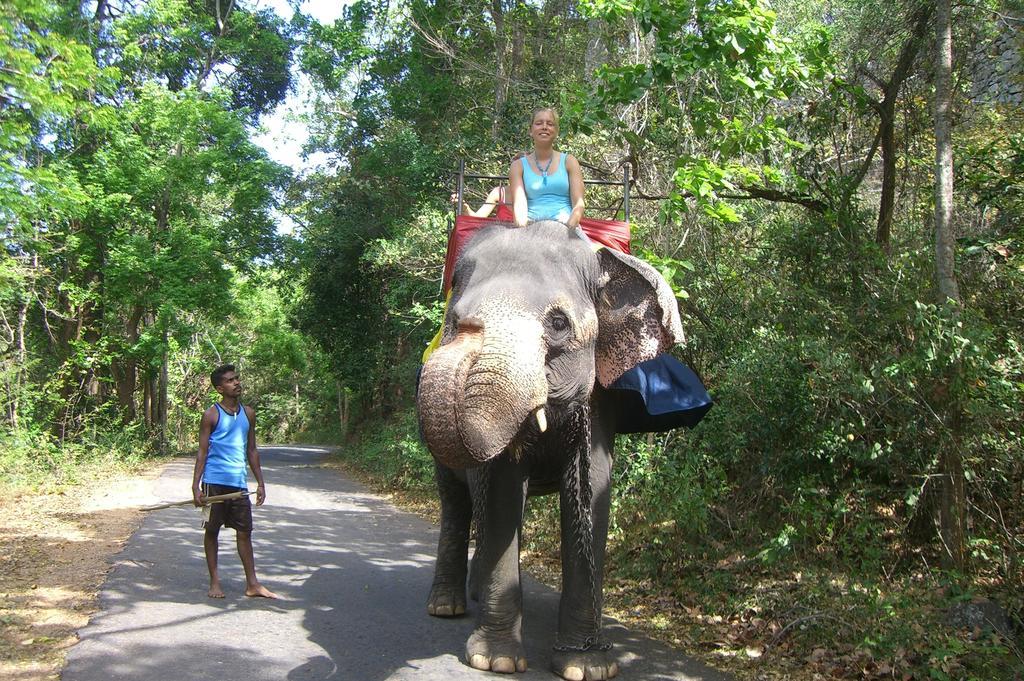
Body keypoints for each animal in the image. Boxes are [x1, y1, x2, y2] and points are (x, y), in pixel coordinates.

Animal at [415, 220, 688, 675]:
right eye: (452, 319)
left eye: (558, 323)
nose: (467, 332)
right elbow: (503, 492)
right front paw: (496, 663)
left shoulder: (601, 404)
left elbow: (590, 496)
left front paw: (587, 665)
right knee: (456, 504)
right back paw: (446, 607)